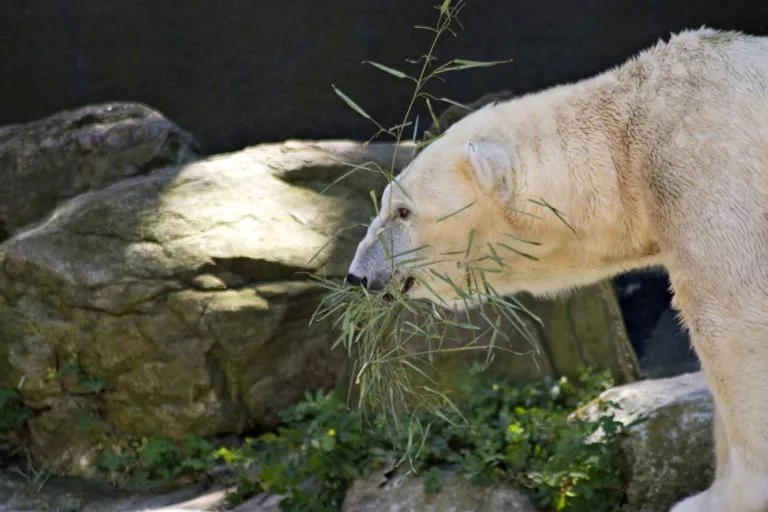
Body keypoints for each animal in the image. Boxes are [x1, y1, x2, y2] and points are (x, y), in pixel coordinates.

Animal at [345, 28, 768, 512]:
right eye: (385, 203)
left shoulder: (709, 169)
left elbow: (733, 326)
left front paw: (718, 498)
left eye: (403, 212)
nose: (358, 275)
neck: (629, 142)